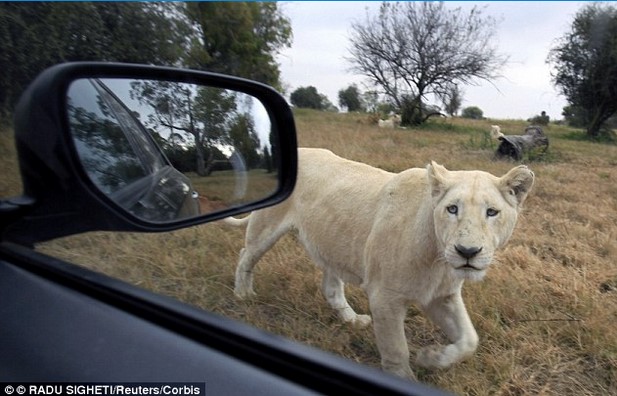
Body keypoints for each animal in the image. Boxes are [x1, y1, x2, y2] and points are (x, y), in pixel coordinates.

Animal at [224, 147, 532, 378]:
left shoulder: (441, 296)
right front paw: (406, 377)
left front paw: (432, 357)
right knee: (244, 255)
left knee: (331, 287)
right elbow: (396, 350)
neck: (438, 260)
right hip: (266, 226)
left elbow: (469, 340)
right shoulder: (385, 297)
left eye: (492, 212)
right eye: (452, 208)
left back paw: (352, 319)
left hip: (332, 244)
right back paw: (243, 294)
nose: (467, 251)